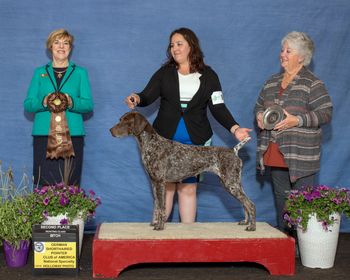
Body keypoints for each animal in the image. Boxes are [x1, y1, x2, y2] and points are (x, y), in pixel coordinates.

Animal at [110, 110, 256, 231]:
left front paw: (160, 226)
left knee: (250, 204)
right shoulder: (154, 182)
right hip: (233, 183)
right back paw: (245, 222)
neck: (151, 144)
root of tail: (233, 150)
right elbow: (156, 205)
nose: (110, 130)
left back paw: (252, 227)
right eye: (120, 119)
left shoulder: (160, 182)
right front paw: (154, 223)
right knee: (245, 204)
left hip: (231, 184)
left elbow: (162, 207)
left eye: (126, 121)